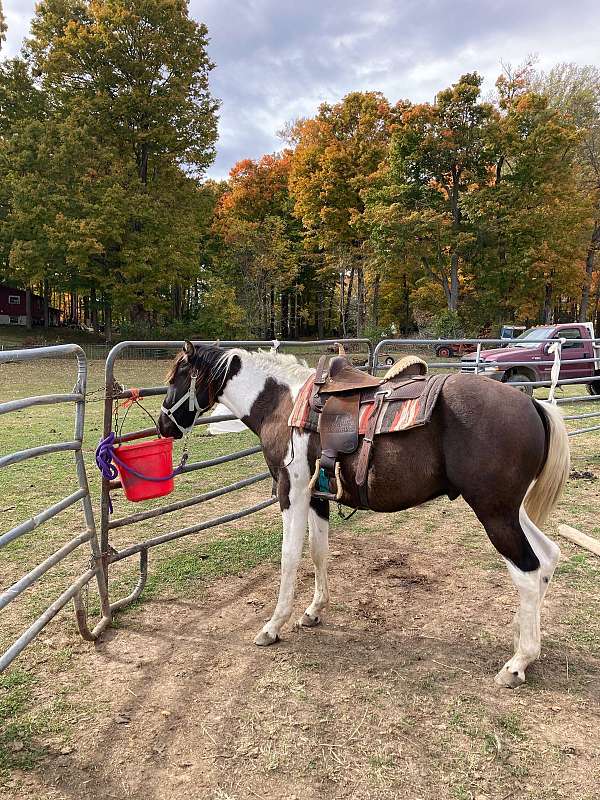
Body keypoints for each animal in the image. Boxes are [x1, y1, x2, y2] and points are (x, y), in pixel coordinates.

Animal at [157, 340, 568, 688]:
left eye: (177, 377)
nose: (163, 425)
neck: (282, 404)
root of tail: (532, 406)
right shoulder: (317, 496)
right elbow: (319, 551)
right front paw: (314, 610)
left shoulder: (292, 491)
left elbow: (289, 557)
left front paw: (274, 625)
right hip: (511, 511)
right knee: (548, 557)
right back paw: (521, 637)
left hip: (495, 513)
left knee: (528, 572)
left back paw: (517, 663)